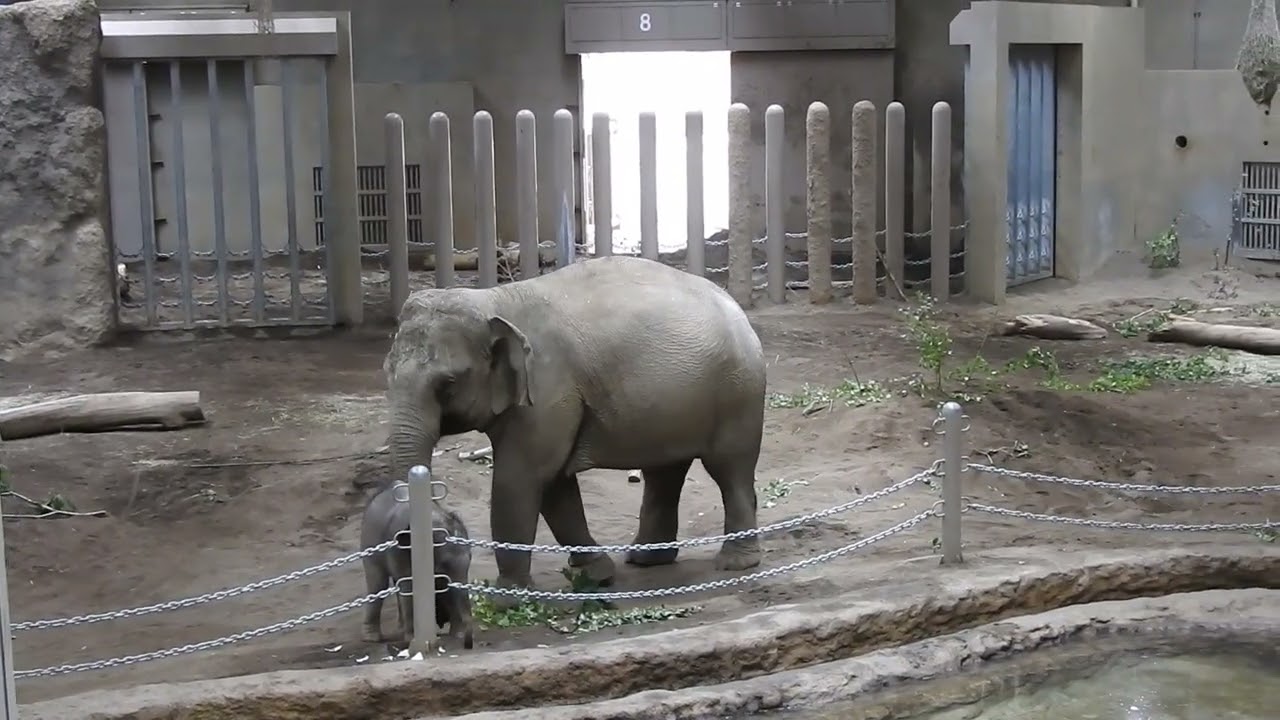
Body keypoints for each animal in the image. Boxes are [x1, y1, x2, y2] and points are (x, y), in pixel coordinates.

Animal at [360, 480, 475, 650]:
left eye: (470, 557)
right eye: (443, 564)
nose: (467, 645)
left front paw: (457, 635)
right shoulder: (401, 549)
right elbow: (410, 587)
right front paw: (411, 639)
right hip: (369, 541)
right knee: (378, 583)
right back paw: (372, 638)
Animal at [384, 255, 767, 595]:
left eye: (447, 384)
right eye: (386, 372)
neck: (493, 299)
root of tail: (740, 313)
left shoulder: (549, 390)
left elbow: (520, 478)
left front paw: (507, 596)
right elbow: (554, 485)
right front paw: (598, 576)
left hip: (737, 394)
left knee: (729, 471)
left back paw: (735, 563)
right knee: (664, 472)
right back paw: (645, 559)